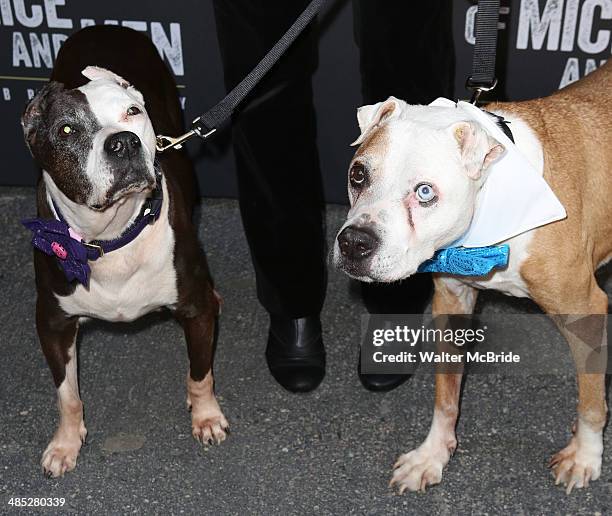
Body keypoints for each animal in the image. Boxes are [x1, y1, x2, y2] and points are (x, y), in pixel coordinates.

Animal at [23, 28, 230, 478]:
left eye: (132, 112)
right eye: (67, 130)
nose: (124, 142)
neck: (112, 237)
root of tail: (104, 26)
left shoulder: (195, 309)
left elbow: (199, 373)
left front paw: (206, 416)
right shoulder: (52, 323)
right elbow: (67, 395)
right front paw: (65, 443)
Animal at [334, 62, 612, 494]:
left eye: (425, 192)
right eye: (359, 175)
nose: (353, 243)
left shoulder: (584, 310)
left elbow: (591, 400)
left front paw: (585, 455)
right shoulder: (452, 300)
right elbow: (446, 395)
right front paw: (432, 455)